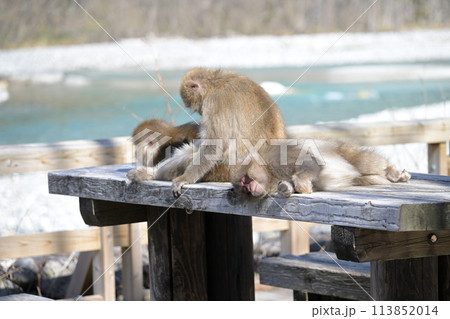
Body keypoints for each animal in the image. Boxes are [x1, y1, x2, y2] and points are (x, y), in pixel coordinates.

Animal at [128, 68, 286, 198]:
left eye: (190, 105)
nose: (199, 112)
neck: (217, 82)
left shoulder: (215, 101)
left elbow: (214, 146)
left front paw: (185, 179)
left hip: (226, 171)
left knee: (191, 154)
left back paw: (152, 174)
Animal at [236, 139, 412, 199]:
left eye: (246, 180)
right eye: (244, 187)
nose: (248, 189)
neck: (270, 173)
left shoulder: (278, 159)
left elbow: (311, 161)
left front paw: (301, 185)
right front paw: (285, 187)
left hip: (344, 150)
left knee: (365, 162)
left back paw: (394, 173)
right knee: (364, 178)